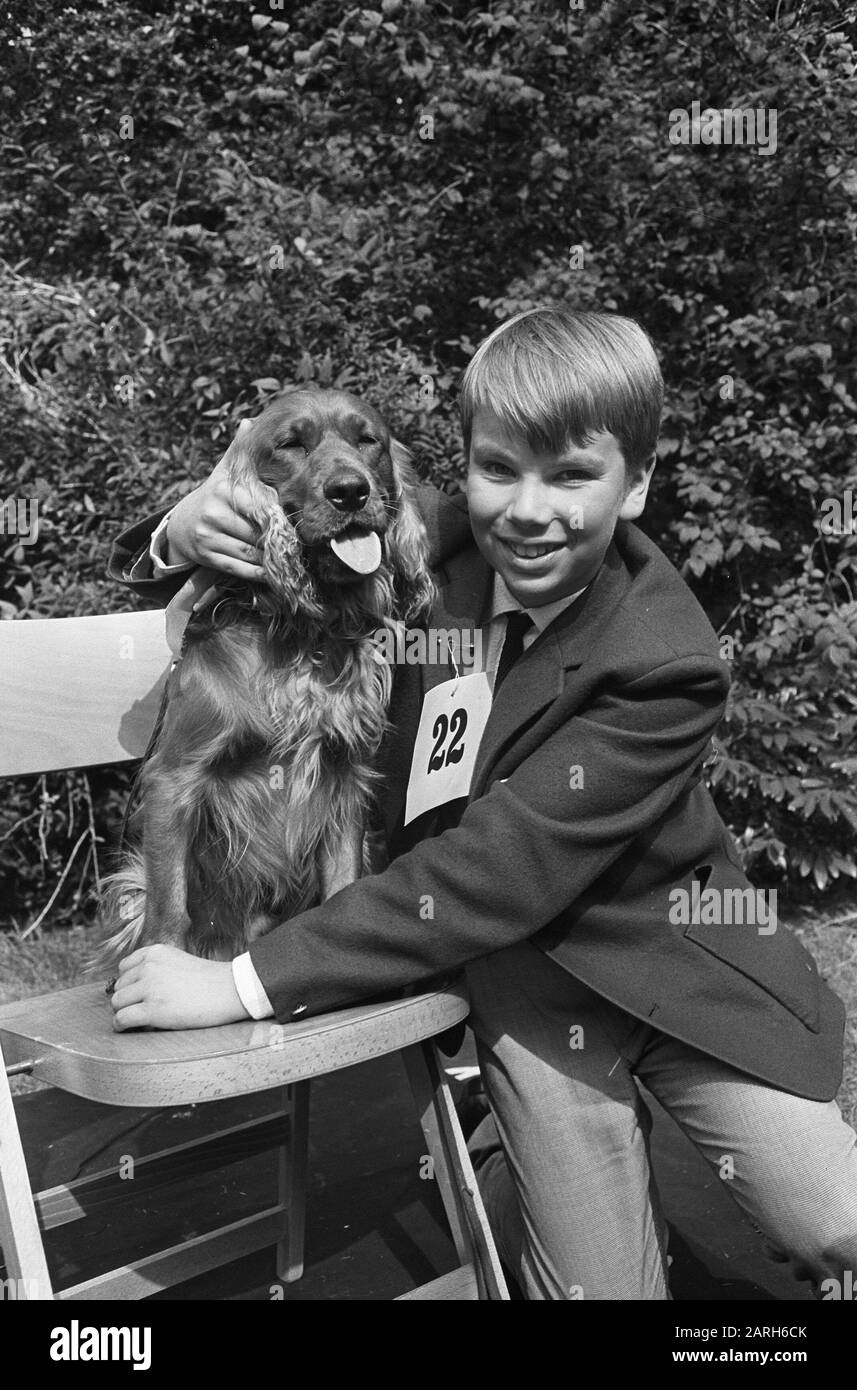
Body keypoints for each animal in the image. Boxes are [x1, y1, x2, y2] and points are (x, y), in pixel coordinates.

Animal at [97, 389, 433, 967]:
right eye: (290, 444)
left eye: (368, 439)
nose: (351, 491)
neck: (303, 635)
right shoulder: (173, 781)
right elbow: (169, 917)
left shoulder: (343, 780)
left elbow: (342, 889)